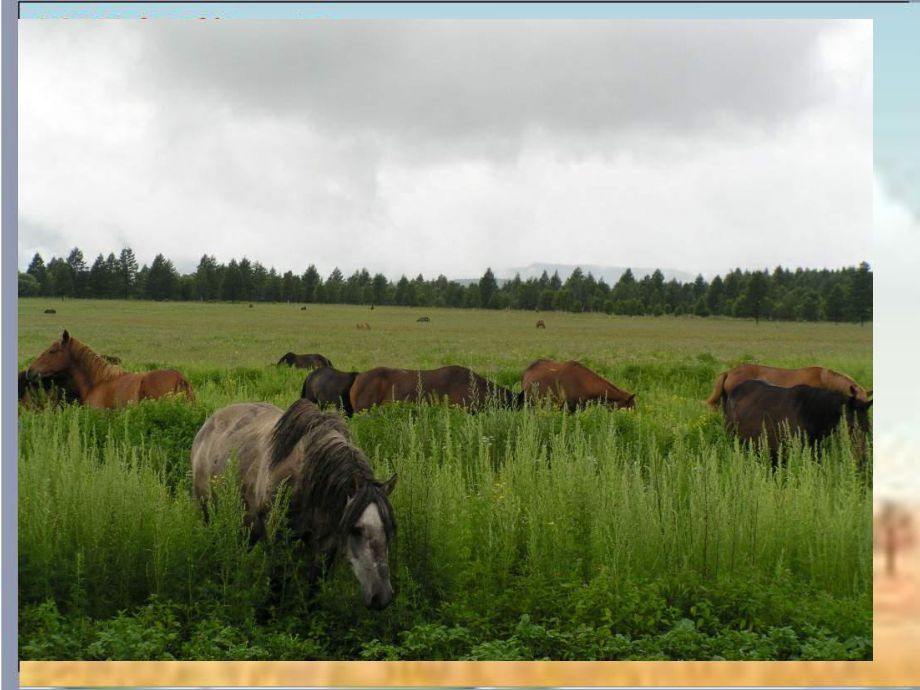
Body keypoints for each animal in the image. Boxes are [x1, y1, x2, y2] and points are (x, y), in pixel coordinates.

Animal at [190, 398, 396, 608]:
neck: (306, 479)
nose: (383, 598)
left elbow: (314, 588)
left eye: (388, 529)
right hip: (207, 513)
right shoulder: (279, 541)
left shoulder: (324, 545)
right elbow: (276, 585)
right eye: (356, 530)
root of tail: (208, 424)